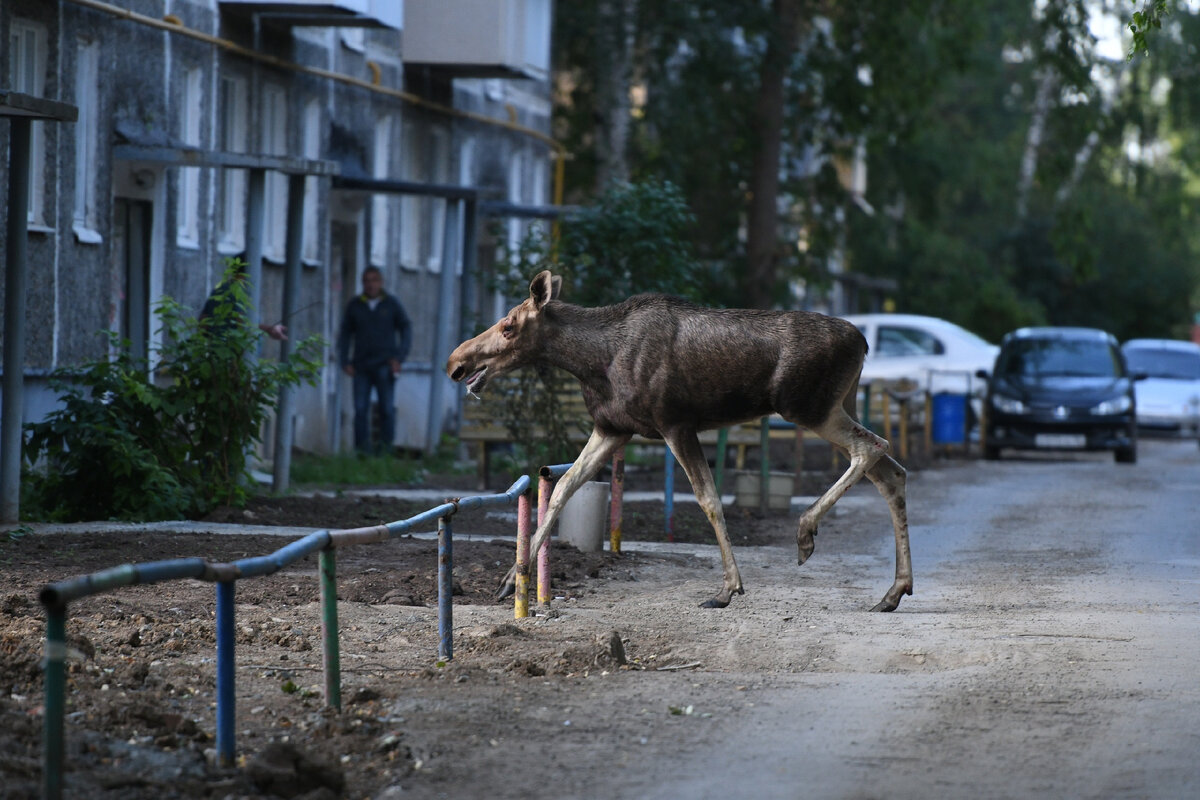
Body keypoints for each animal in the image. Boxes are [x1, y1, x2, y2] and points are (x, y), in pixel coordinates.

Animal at [446, 271, 912, 614]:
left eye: (508, 326)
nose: (456, 362)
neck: (592, 362)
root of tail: (863, 343)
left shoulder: (675, 424)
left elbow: (709, 500)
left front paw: (728, 588)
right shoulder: (612, 428)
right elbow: (562, 486)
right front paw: (511, 579)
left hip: (808, 407)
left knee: (873, 447)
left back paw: (806, 533)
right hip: (836, 405)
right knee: (891, 474)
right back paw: (893, 592)